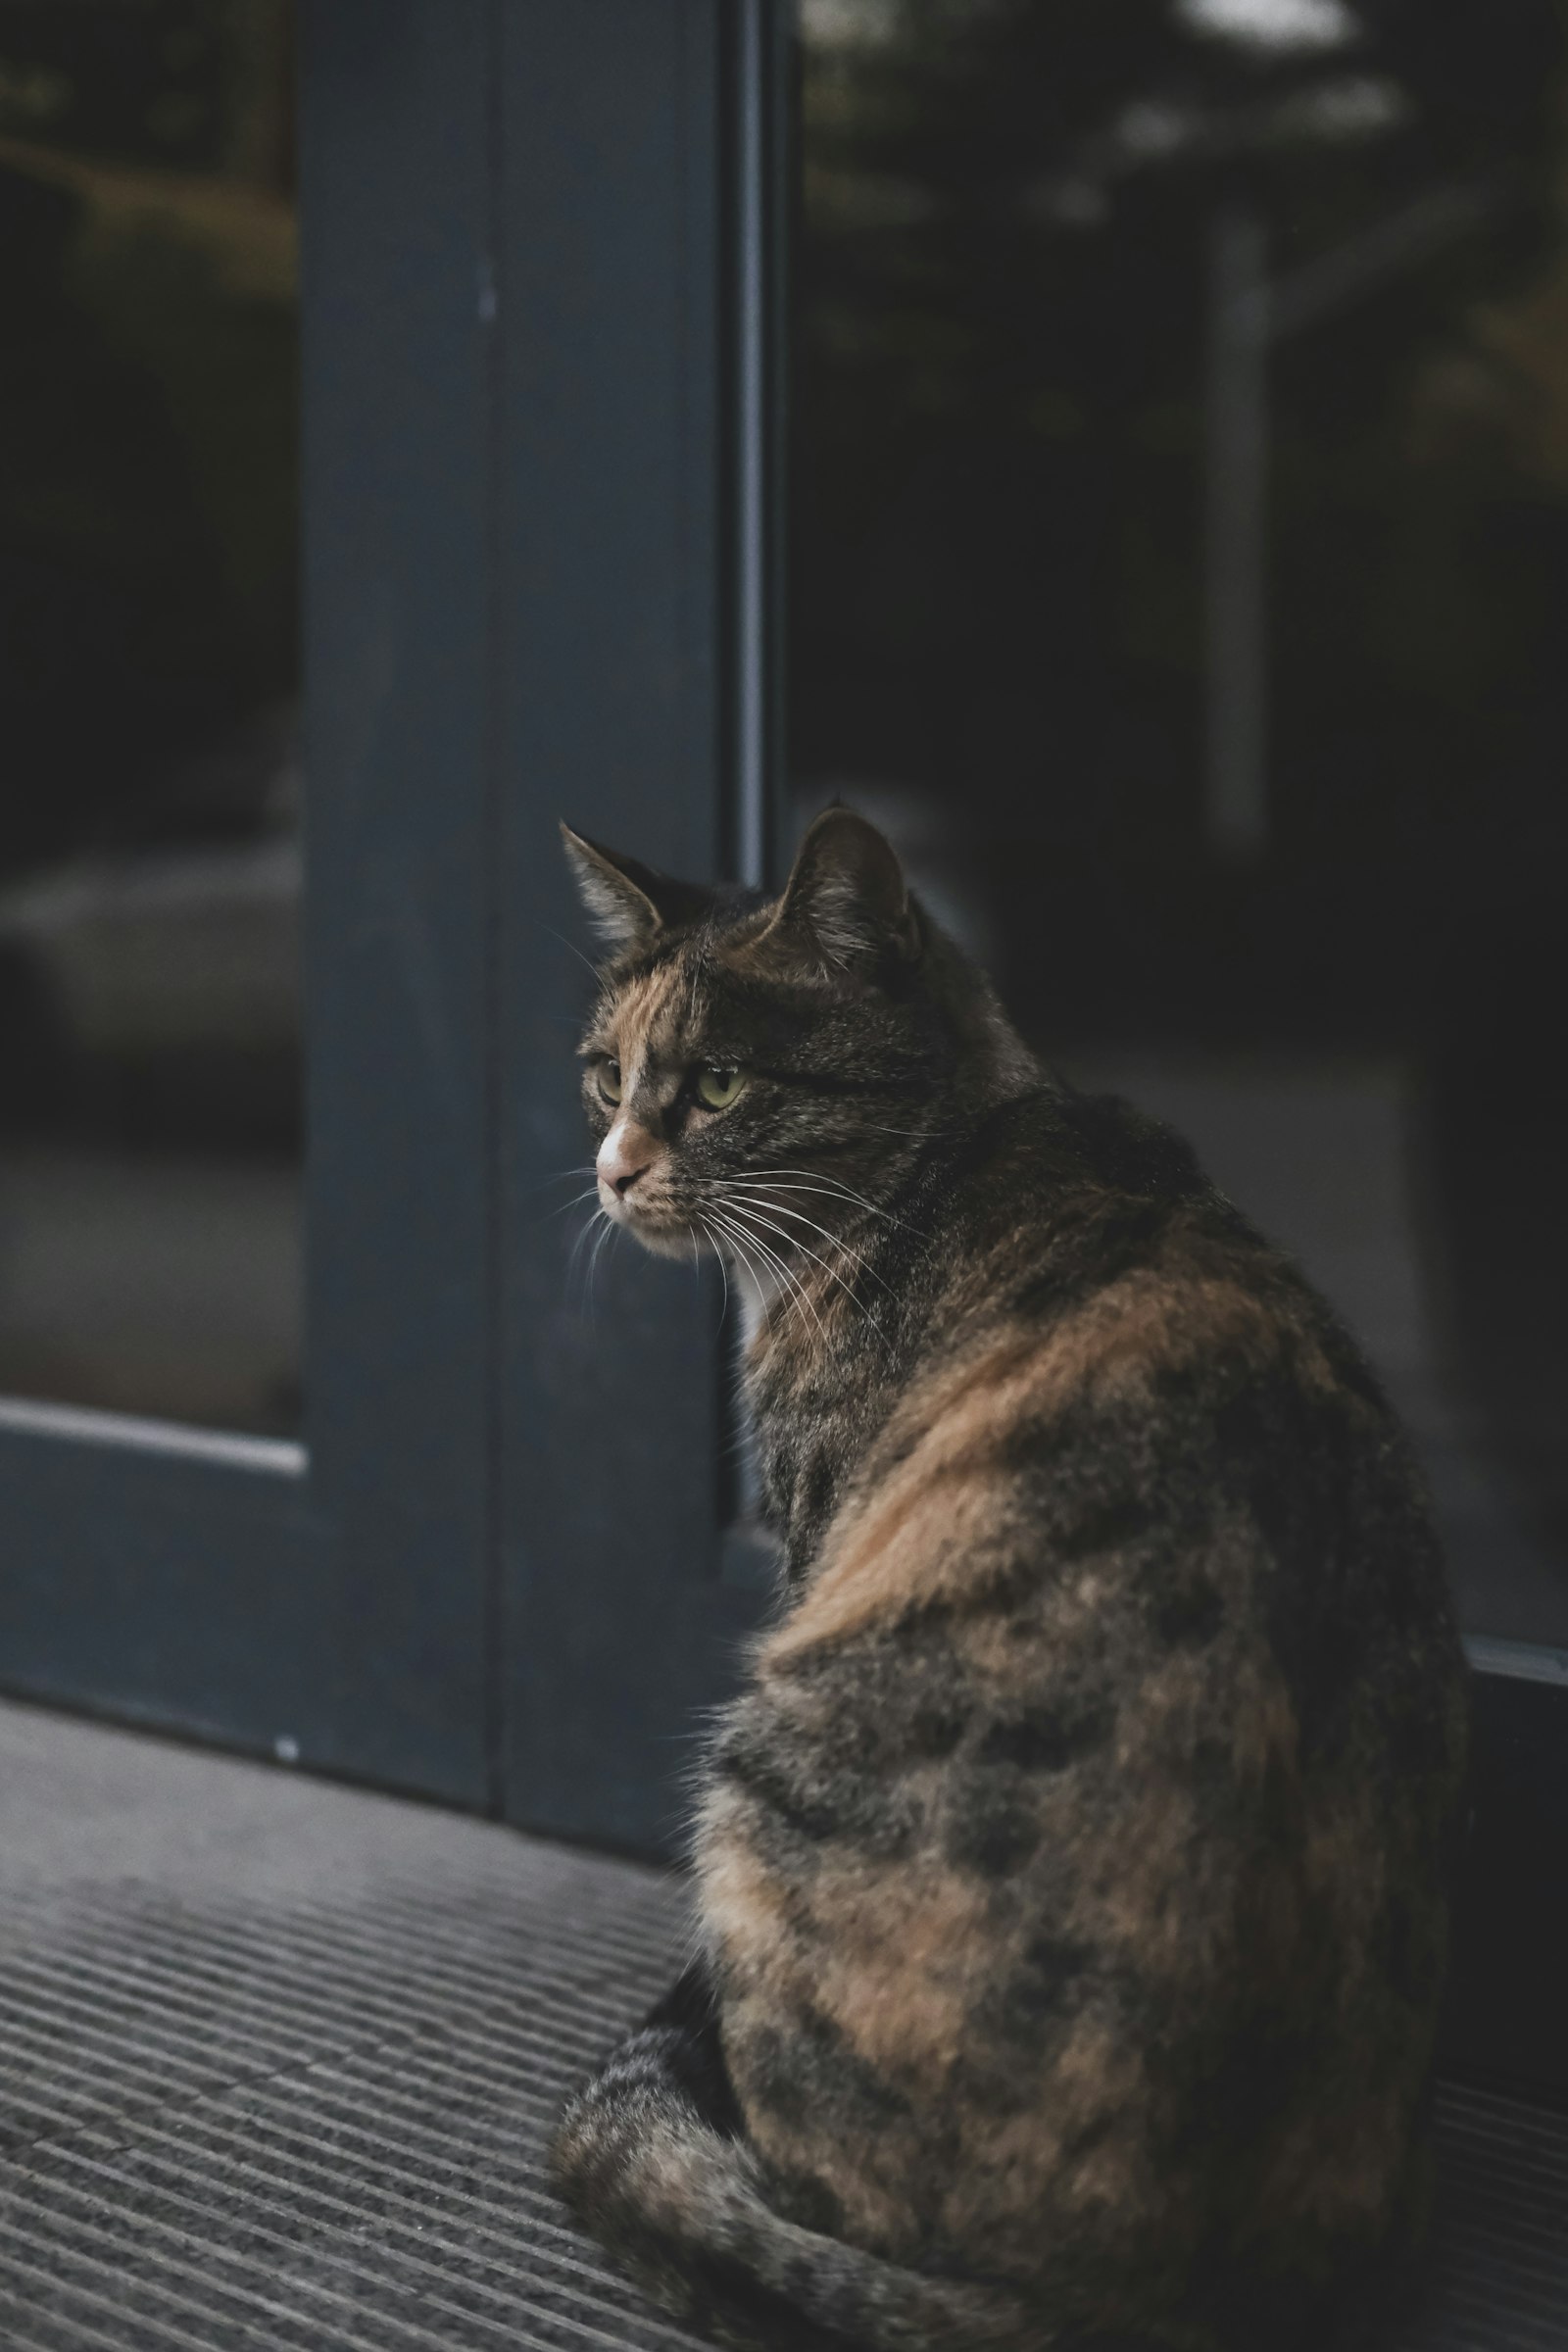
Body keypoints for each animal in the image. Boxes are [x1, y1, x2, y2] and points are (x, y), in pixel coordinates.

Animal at [550, 813, 1476, 2352]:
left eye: (722, 1082)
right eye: (605, 1075)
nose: (616, 1170)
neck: (955, 1140)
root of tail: (1160, 2294)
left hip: (765, 1761)